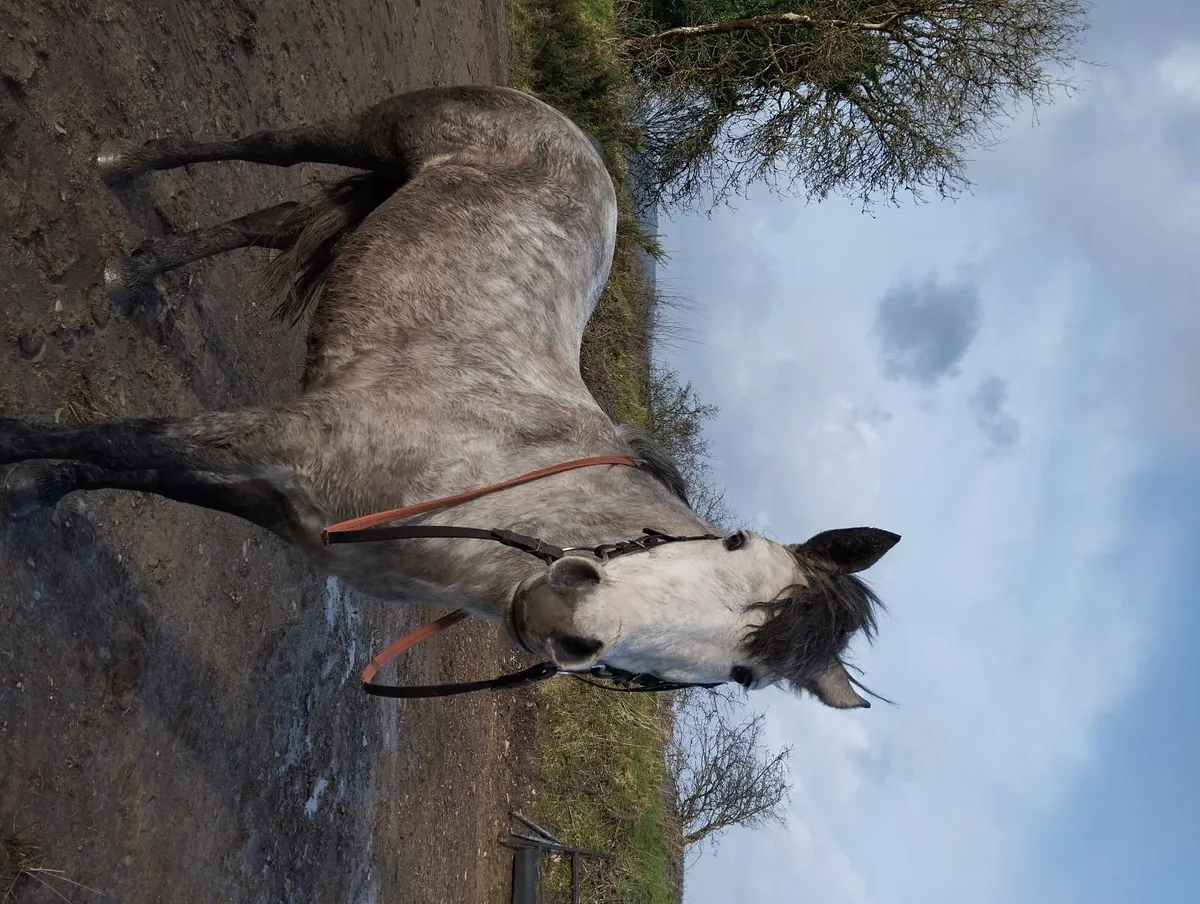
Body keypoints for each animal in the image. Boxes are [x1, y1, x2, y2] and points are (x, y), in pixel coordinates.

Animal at [0, 85, 899, 707]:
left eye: (743, 676)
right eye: (734, 543)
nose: (570, 621)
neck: (492, 479)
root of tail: (569, 131)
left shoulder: (278, 500)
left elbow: (132, 468)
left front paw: (33, 491)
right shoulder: (275, 437)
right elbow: (122, 439)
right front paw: (17, 455)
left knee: (274, 216)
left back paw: (139, 272)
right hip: (376, 128)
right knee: (271, 148)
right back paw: (122, 168)